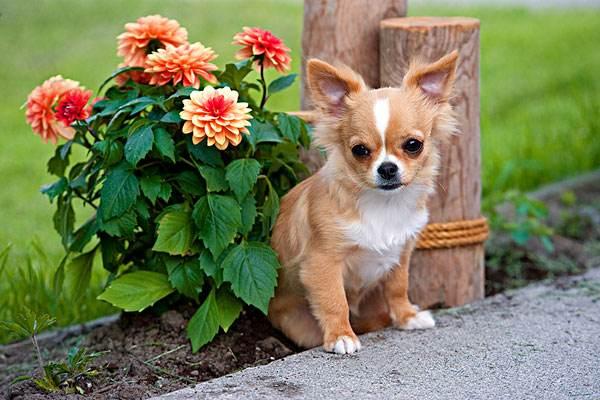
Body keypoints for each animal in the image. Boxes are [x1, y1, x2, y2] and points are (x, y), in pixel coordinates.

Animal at [268, 50, 460, 354]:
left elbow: (398, 287)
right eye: (360, 150)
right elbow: (335, 300)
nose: (387, 168)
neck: (385, 204)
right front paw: (341, 336)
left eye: (413, 145)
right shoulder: (322, 263)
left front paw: (406, 316)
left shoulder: (401, 252)